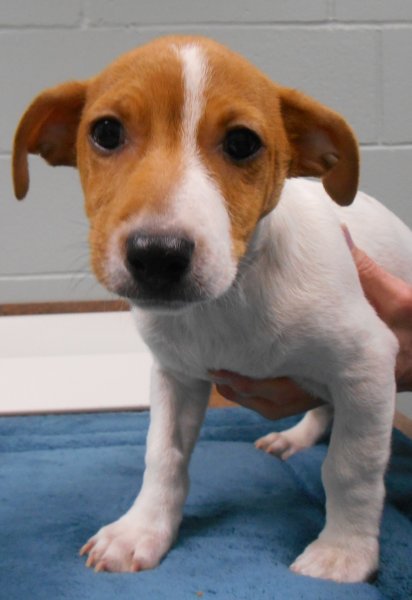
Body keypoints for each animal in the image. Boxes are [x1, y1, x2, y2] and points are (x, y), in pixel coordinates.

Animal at [12, 35, 412, 582]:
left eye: (242, 143)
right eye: (106, 132)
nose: (157, 255)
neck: (227, 304)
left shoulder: (368, 362)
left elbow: (351, 466)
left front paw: (342, 553)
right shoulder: (176, 375)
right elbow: (163, 456)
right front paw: (141, 531)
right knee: (323, 406)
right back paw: (295, 437)